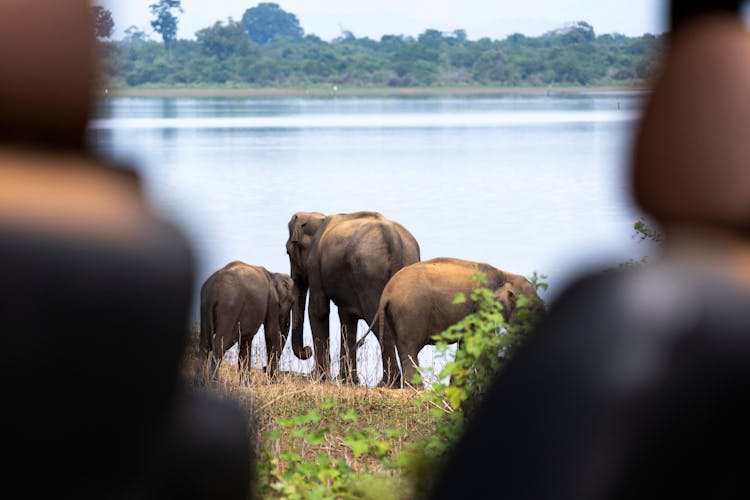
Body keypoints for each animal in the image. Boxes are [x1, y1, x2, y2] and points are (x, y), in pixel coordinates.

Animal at [286, 210, 420, 382]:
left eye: (288, 252)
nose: (306, 350)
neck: (318, 218)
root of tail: (394, 240)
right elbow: (346, 316)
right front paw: (347, 381)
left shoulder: (315, 265)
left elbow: (318, 310)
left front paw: (318, 378)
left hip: (370, 277)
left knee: (381, 323)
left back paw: (387, 383)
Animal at [360, 256, 544, 388]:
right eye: (533, 310)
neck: (505, 275)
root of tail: (386, 292)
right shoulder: (483, 305)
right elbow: (483, 341)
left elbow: (467, 344)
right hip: (411, 312)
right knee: (410, 349)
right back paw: (417, 390)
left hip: (396, 315)